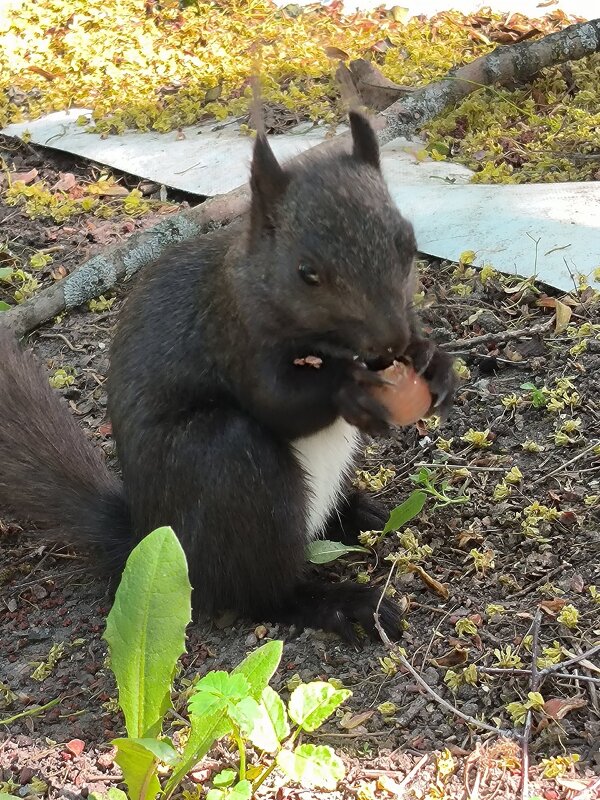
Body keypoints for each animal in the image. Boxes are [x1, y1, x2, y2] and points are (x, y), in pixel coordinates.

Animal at [0, 114, 454, 644]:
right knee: (262, 592)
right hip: (229, 466)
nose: (390, 340)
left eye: (408, 241)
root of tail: (141, 537)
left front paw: (434, 361)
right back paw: (341, 603)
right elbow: (276, 402)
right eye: (306, 272)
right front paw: (352, 391)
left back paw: (357, 514)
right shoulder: (232, 330)